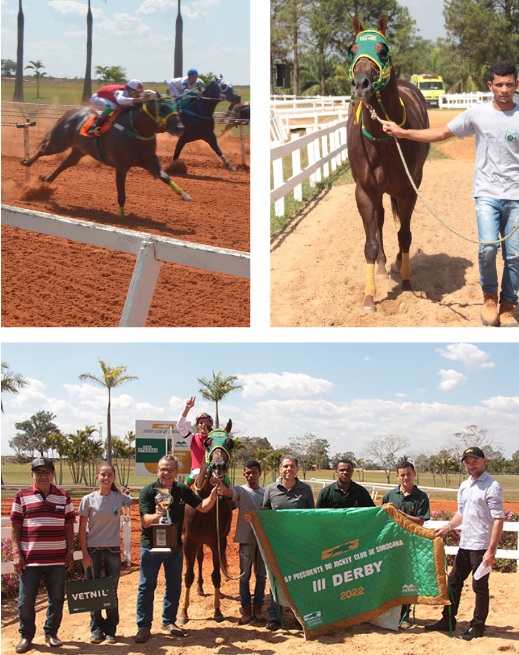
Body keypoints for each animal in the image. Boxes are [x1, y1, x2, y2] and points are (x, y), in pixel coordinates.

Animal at [179, 420, 236, 624]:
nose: (218, 466)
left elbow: (217, 575)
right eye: (207, 442)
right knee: (199, 559)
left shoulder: (218, 542)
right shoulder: (188, 541)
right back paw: (199, 588)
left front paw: (218, 611)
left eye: (230, 442)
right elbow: (188, 575)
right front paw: (183, 613)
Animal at [348, 14, 428, 312]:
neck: (382, 140)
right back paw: (383, 265)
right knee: (380, 220)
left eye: (382, 50)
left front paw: (405, 280)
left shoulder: (409, 190)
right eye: (352, 49)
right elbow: (369, 243)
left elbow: (405, 235)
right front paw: (369, 297)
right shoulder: (364, 191)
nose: (361, 84)